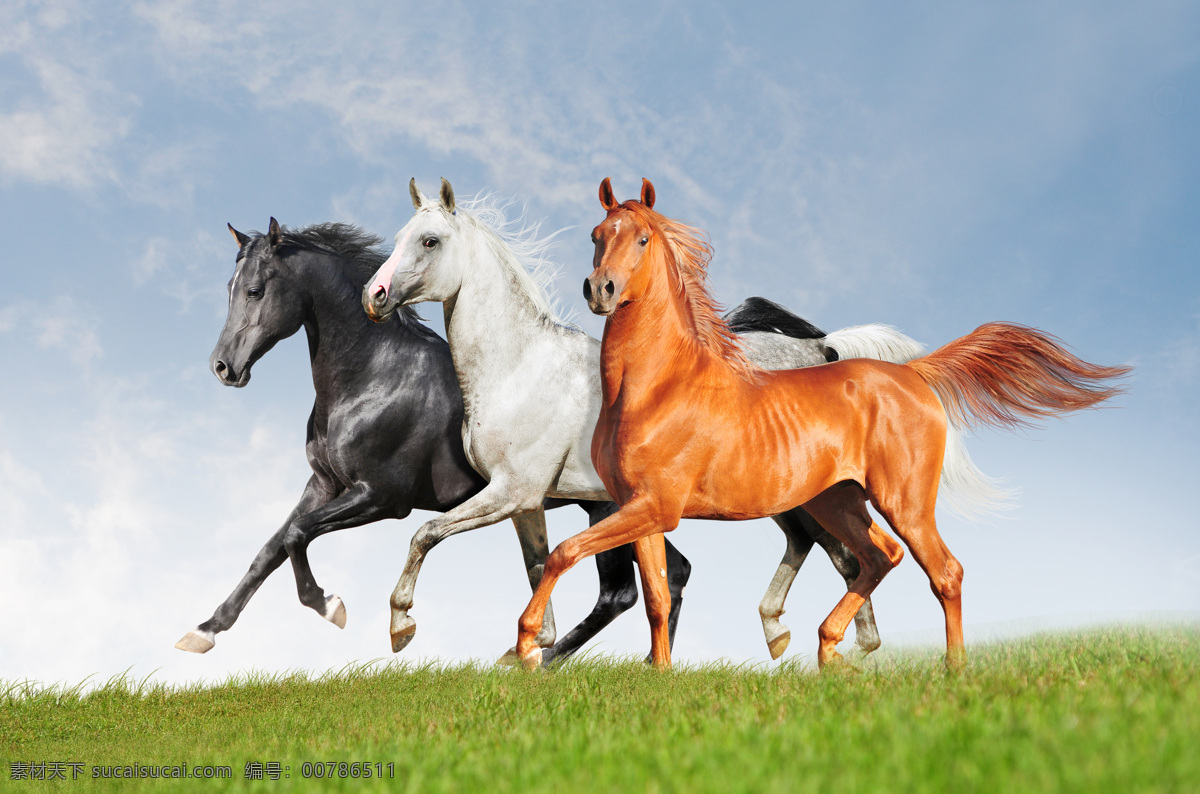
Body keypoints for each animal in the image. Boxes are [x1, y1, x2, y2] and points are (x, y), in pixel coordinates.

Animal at [360, 183, 998, 662]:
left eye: (430, 240)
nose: (375, 296)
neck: (518, 365)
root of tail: (824, 351)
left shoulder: (512, 492)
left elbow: (425, 533)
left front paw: (401, 626)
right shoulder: (526, 502)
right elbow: (538, 565)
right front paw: (528, 652)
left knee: (847, 557)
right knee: (835, 553)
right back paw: (798, 635)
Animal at [513, 178, 1123, 671]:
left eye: (641, 239)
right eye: (597, 233)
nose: (600, 290)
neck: (658, 387)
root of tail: (912, 374)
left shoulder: (653, 507)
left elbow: (564, 553)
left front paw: (525, 648)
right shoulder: (642, 510)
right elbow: (658, 598)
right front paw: (659, 676)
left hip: (902, 502)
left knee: (942, 571)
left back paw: (951, 672)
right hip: (838, 501)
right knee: (876, 558)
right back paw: (828, 650)